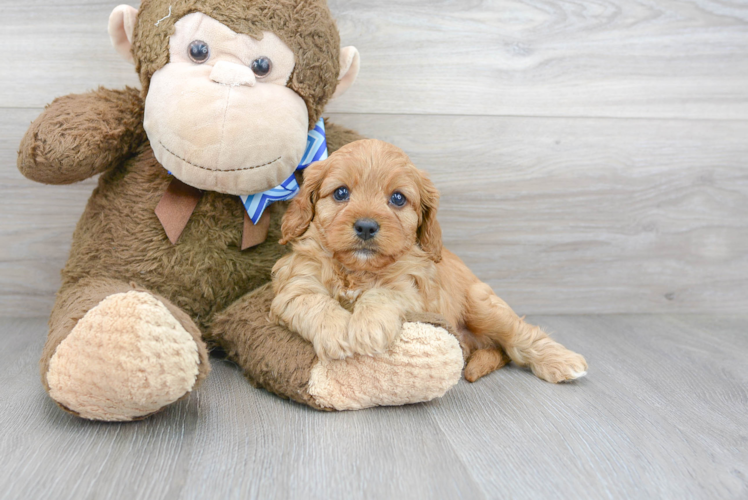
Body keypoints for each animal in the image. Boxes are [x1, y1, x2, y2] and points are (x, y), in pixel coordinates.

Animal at [272, 140, 588, 382]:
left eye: (398, 198)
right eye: (341, 192)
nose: (366, 227)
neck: (357, 270)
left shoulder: (412, 288)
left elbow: (381, 293)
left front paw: (368, 328)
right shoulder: (296, 284)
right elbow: (314, 301)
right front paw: (337, 331)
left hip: (482, 306)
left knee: (522, 335)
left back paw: (563, 361)